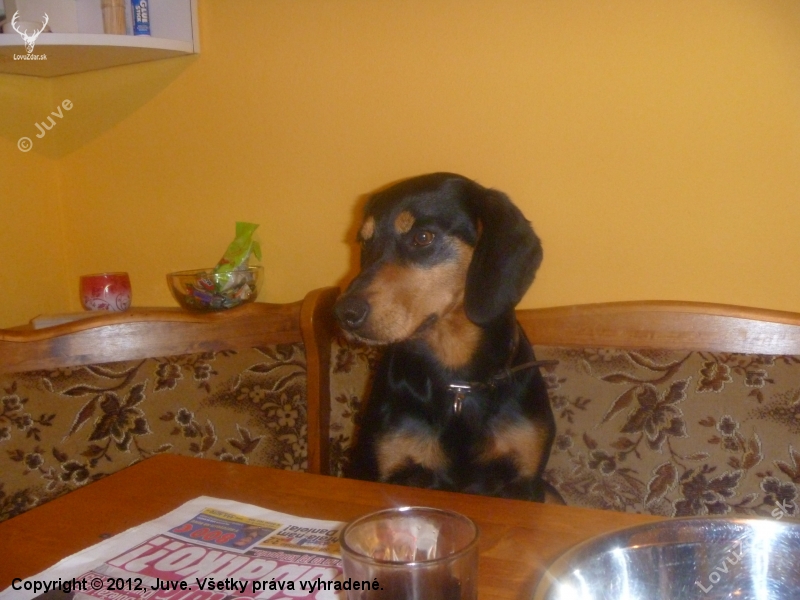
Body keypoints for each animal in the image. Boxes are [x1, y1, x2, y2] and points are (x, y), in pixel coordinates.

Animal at [334, 173, 559, 502]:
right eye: (365, 242)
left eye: (423, 237)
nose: (344, 313)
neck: (458, 384)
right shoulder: (388, 469)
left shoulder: (525, 481)